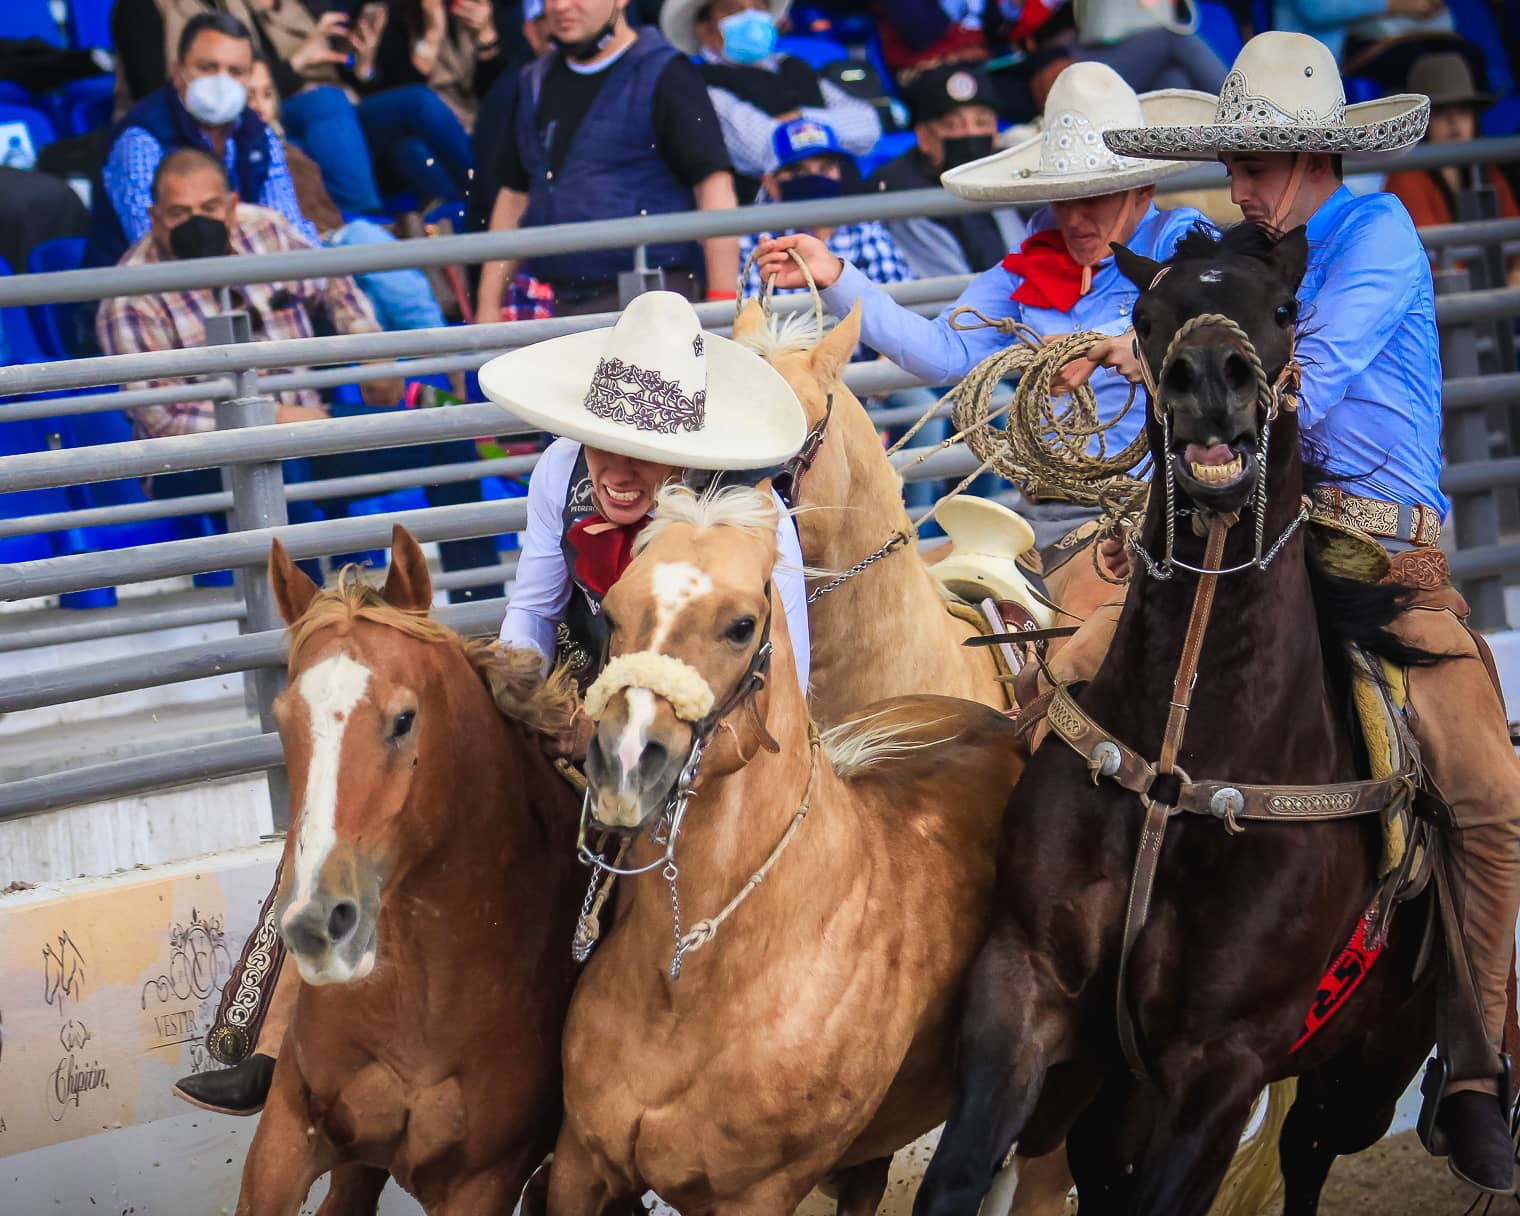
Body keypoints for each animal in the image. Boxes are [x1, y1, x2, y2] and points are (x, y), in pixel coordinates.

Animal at [912, 220, 1434, 1216]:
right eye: (1146, 319)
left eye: (1285, 308)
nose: (1209, 377)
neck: (1181, 768)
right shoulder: (1025, 985)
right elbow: (957, 1172)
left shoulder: (1222, 1065)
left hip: (1362, 1073)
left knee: (1311, 1151)